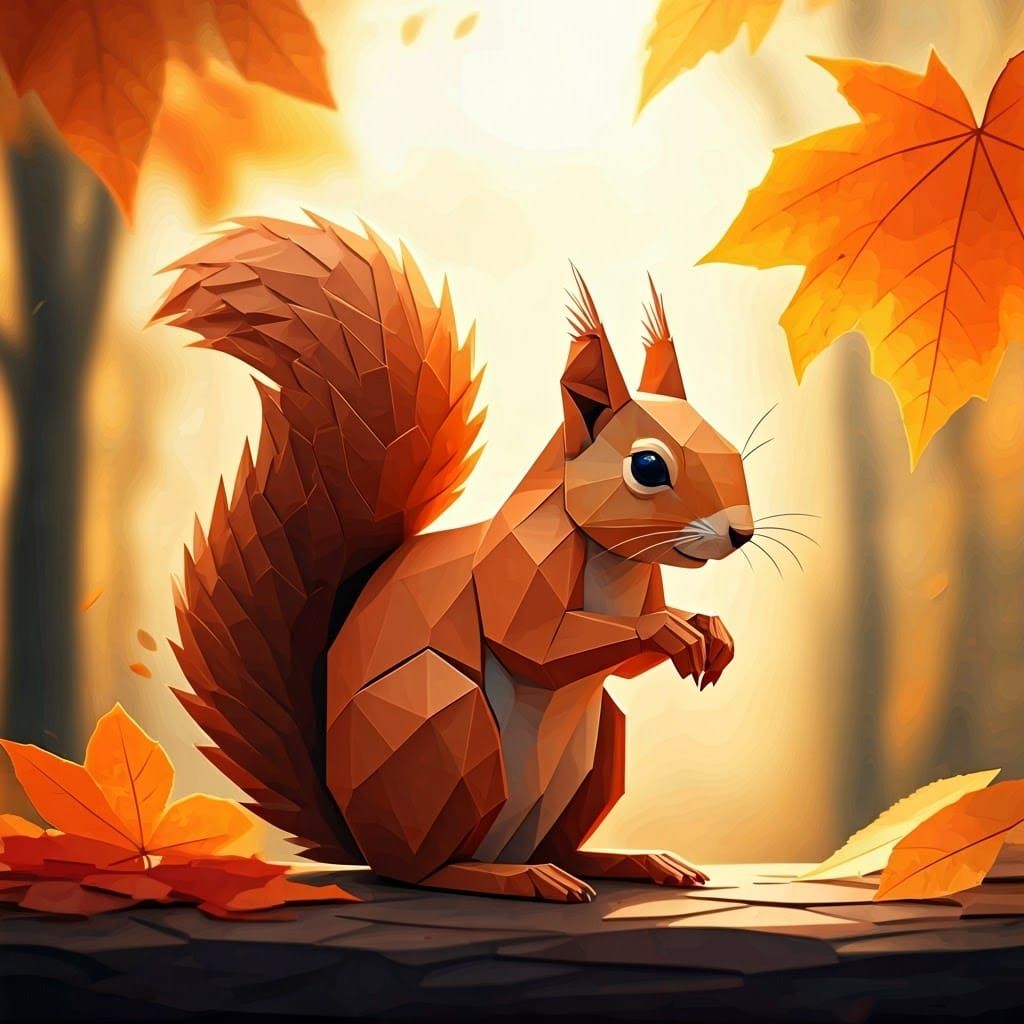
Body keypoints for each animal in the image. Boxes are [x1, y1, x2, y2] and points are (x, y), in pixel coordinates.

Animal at [158, 214, 754, 903]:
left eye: (731, 447)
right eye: (649, 467)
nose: (742, 533)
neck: (615, 564)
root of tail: (358, 839)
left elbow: (621, 667)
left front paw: (712, 631)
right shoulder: (518, 561)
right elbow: (536, 646)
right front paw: (669, 630)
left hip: (601, 745)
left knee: (564, 845)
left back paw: (628, 860)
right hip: (442, 721)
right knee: (425, 871)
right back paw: (512, 876)